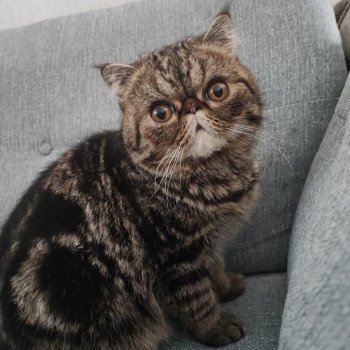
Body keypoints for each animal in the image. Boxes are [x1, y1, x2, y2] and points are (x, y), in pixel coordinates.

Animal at [0, 12, 262, 350]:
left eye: (217, 91)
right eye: (161, 112)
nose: (192, 106)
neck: (213, 174)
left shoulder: (208, 243)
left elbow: (214, 265)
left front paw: (227, 286)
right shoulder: (175, 256)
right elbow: (196, 300)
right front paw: (217, 327)